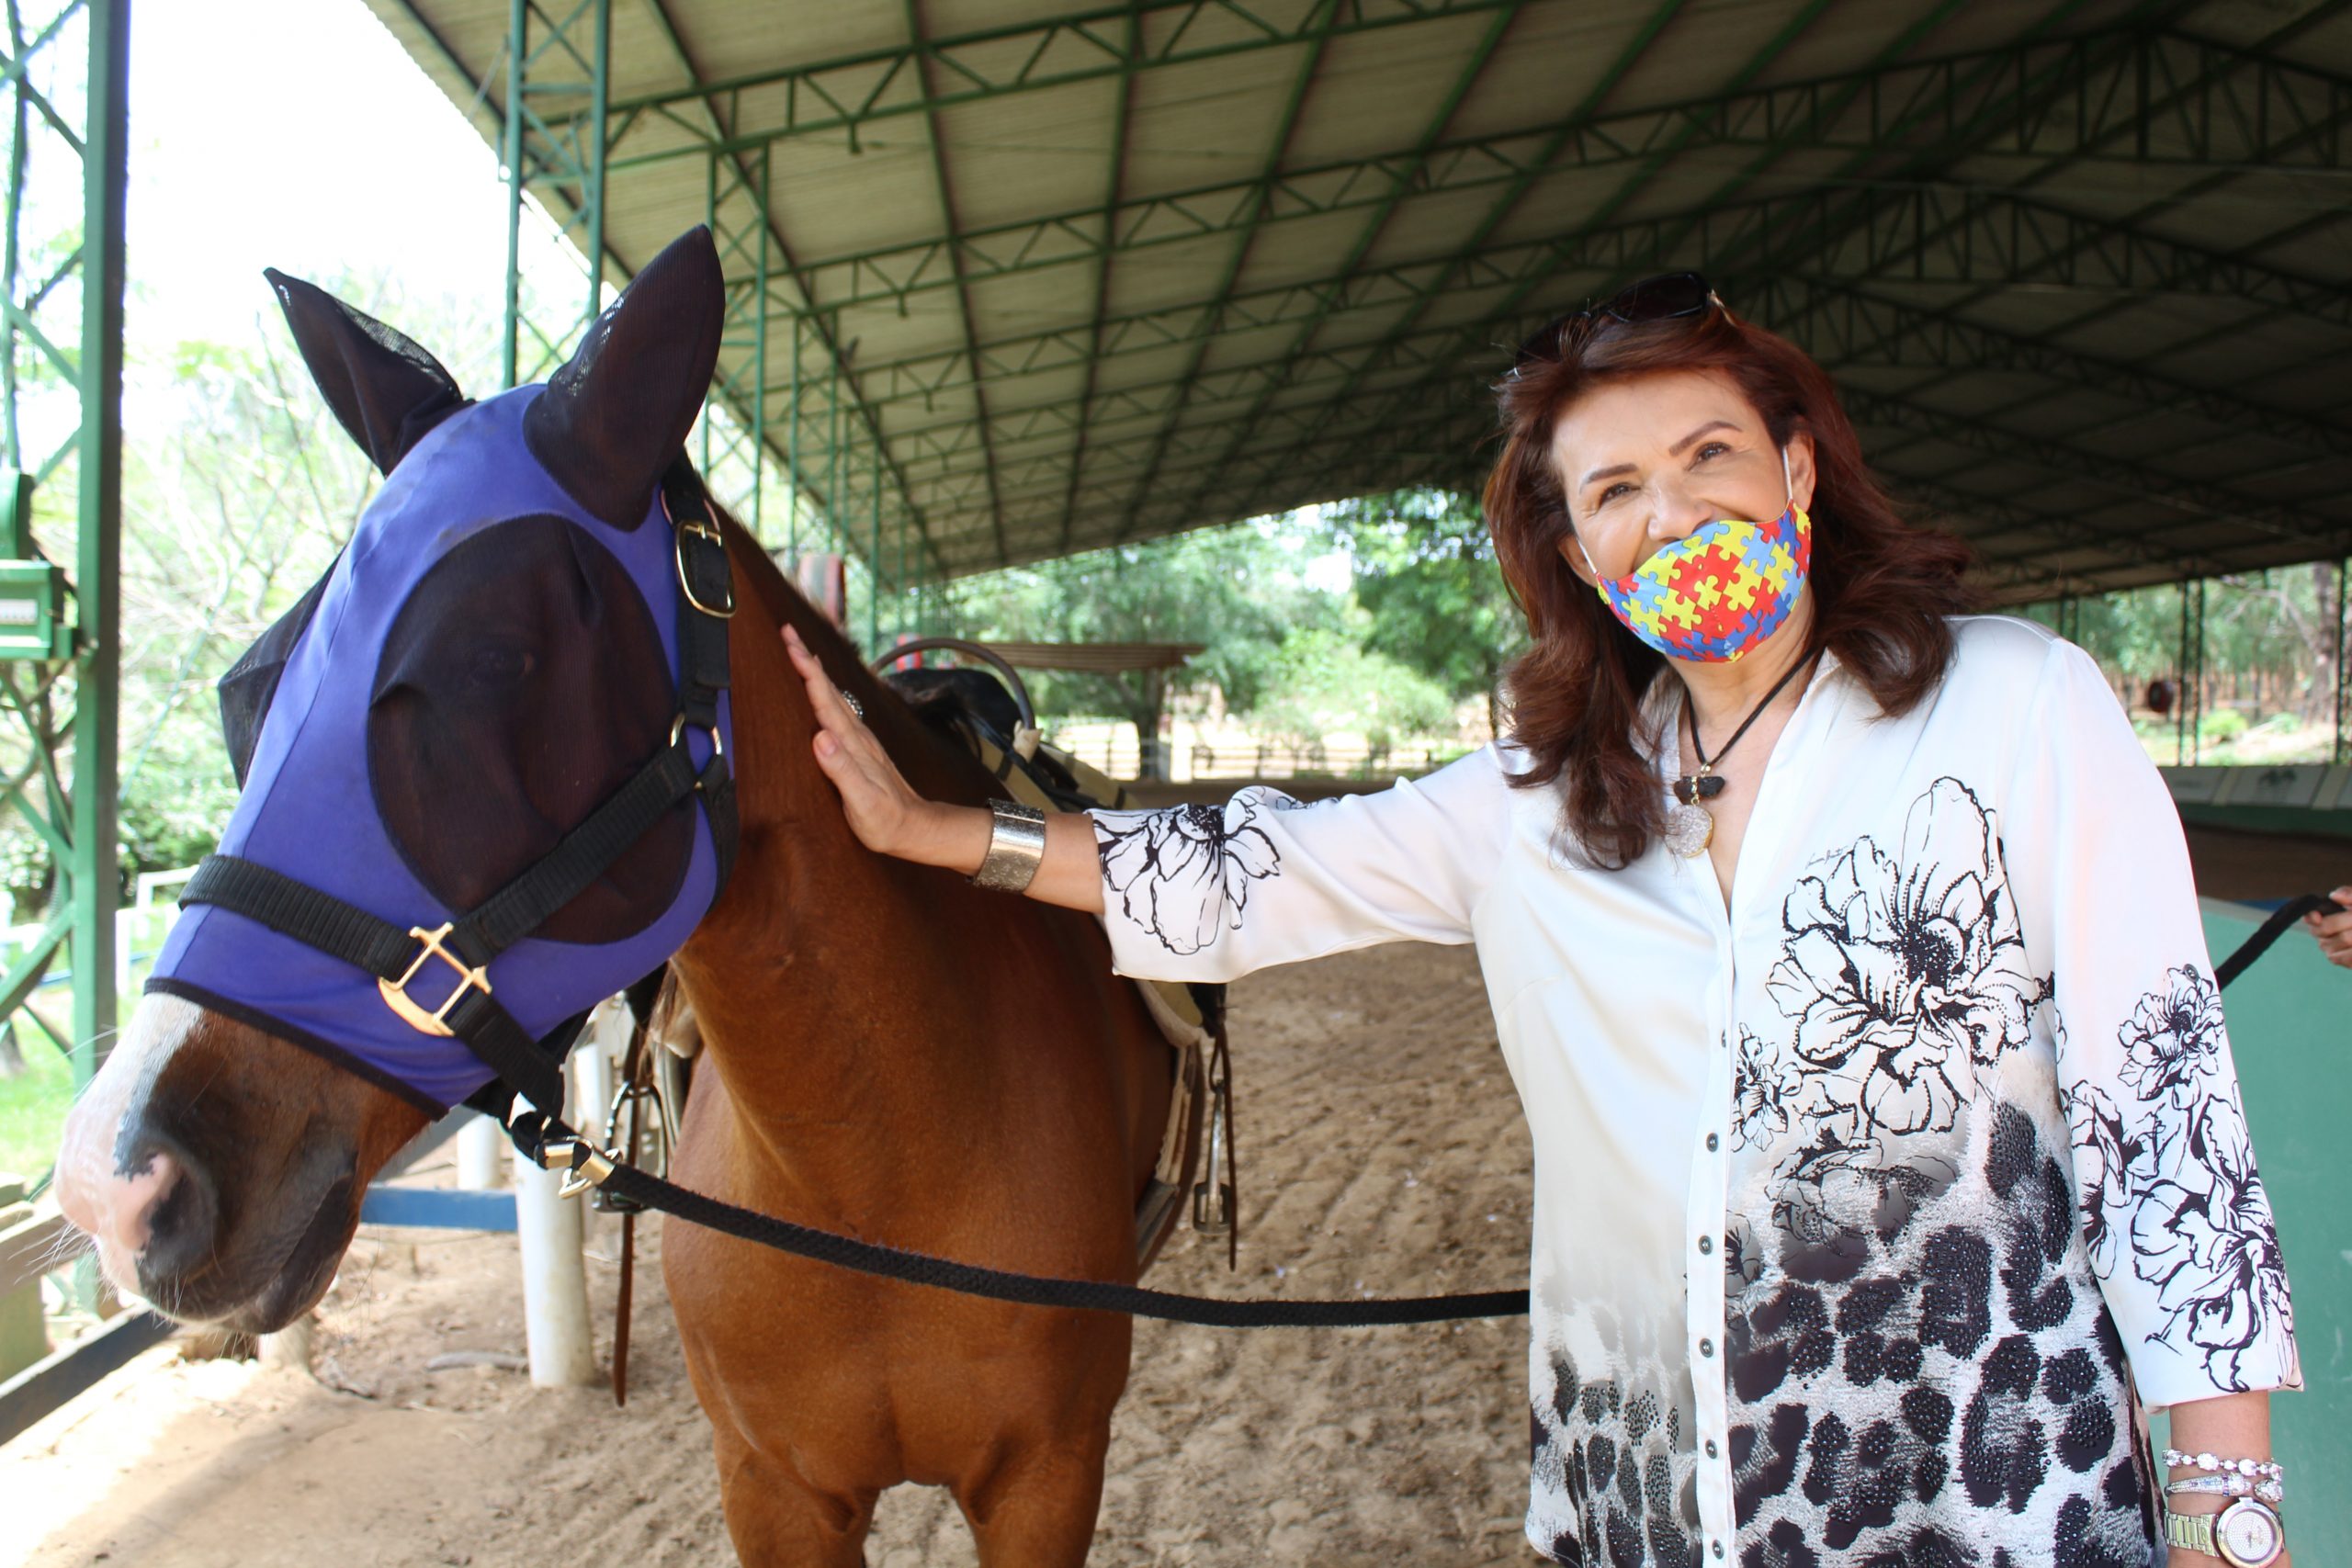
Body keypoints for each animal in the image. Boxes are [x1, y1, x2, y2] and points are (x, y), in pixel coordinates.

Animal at [55, 226, 1185, 1561]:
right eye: (250, 687)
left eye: (496, 663)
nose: (117, 1182)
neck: (878, 1164)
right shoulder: (771, 1483)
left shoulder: (1048, 1477)